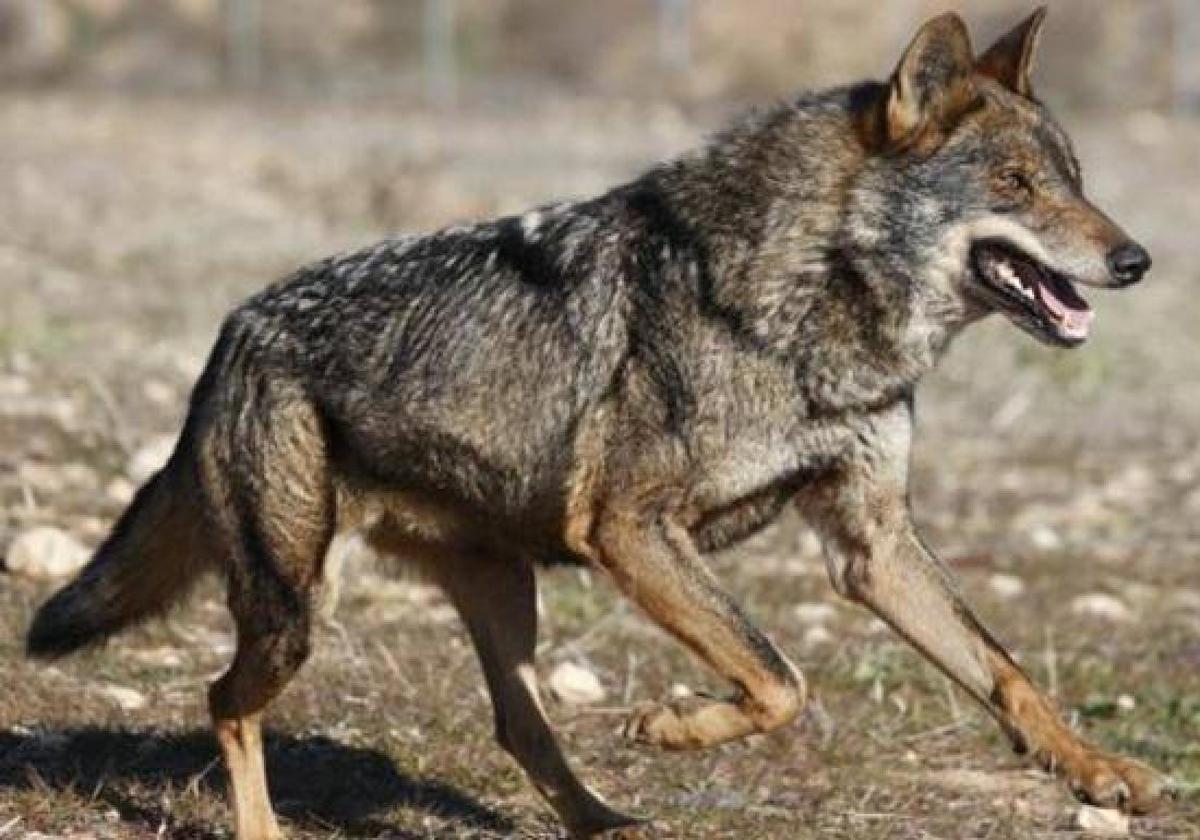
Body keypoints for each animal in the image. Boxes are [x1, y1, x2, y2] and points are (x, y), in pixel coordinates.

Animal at [25, 8, 1171, 840]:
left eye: (1076, 180)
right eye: (1016, 184)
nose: (1137, 261)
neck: (813, 309)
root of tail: (233, 328)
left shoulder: (870, 544)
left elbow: (1005, 671)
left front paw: (1101, 770)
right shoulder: (630, 529)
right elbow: (779, 677)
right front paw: (673, 724)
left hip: (503, 600)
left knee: (518, 732)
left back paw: (609, 822)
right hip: (297, 610)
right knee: (224, 700)